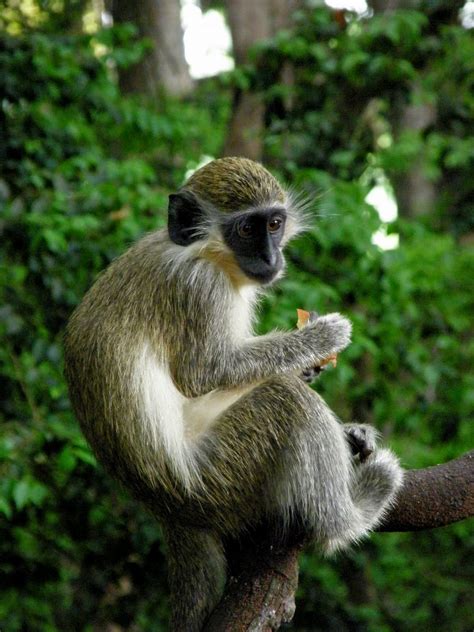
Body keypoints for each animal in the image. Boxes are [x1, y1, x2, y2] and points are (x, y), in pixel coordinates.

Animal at [64, 156, 404, 628]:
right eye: (246, 229)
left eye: (275, 223)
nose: (271, 256)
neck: (206, 253)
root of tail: (166, 508)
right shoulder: (199, 288)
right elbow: (205, 373)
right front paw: (320, 338)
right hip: (222, 479)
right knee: (286, 402)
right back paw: (347, 518)